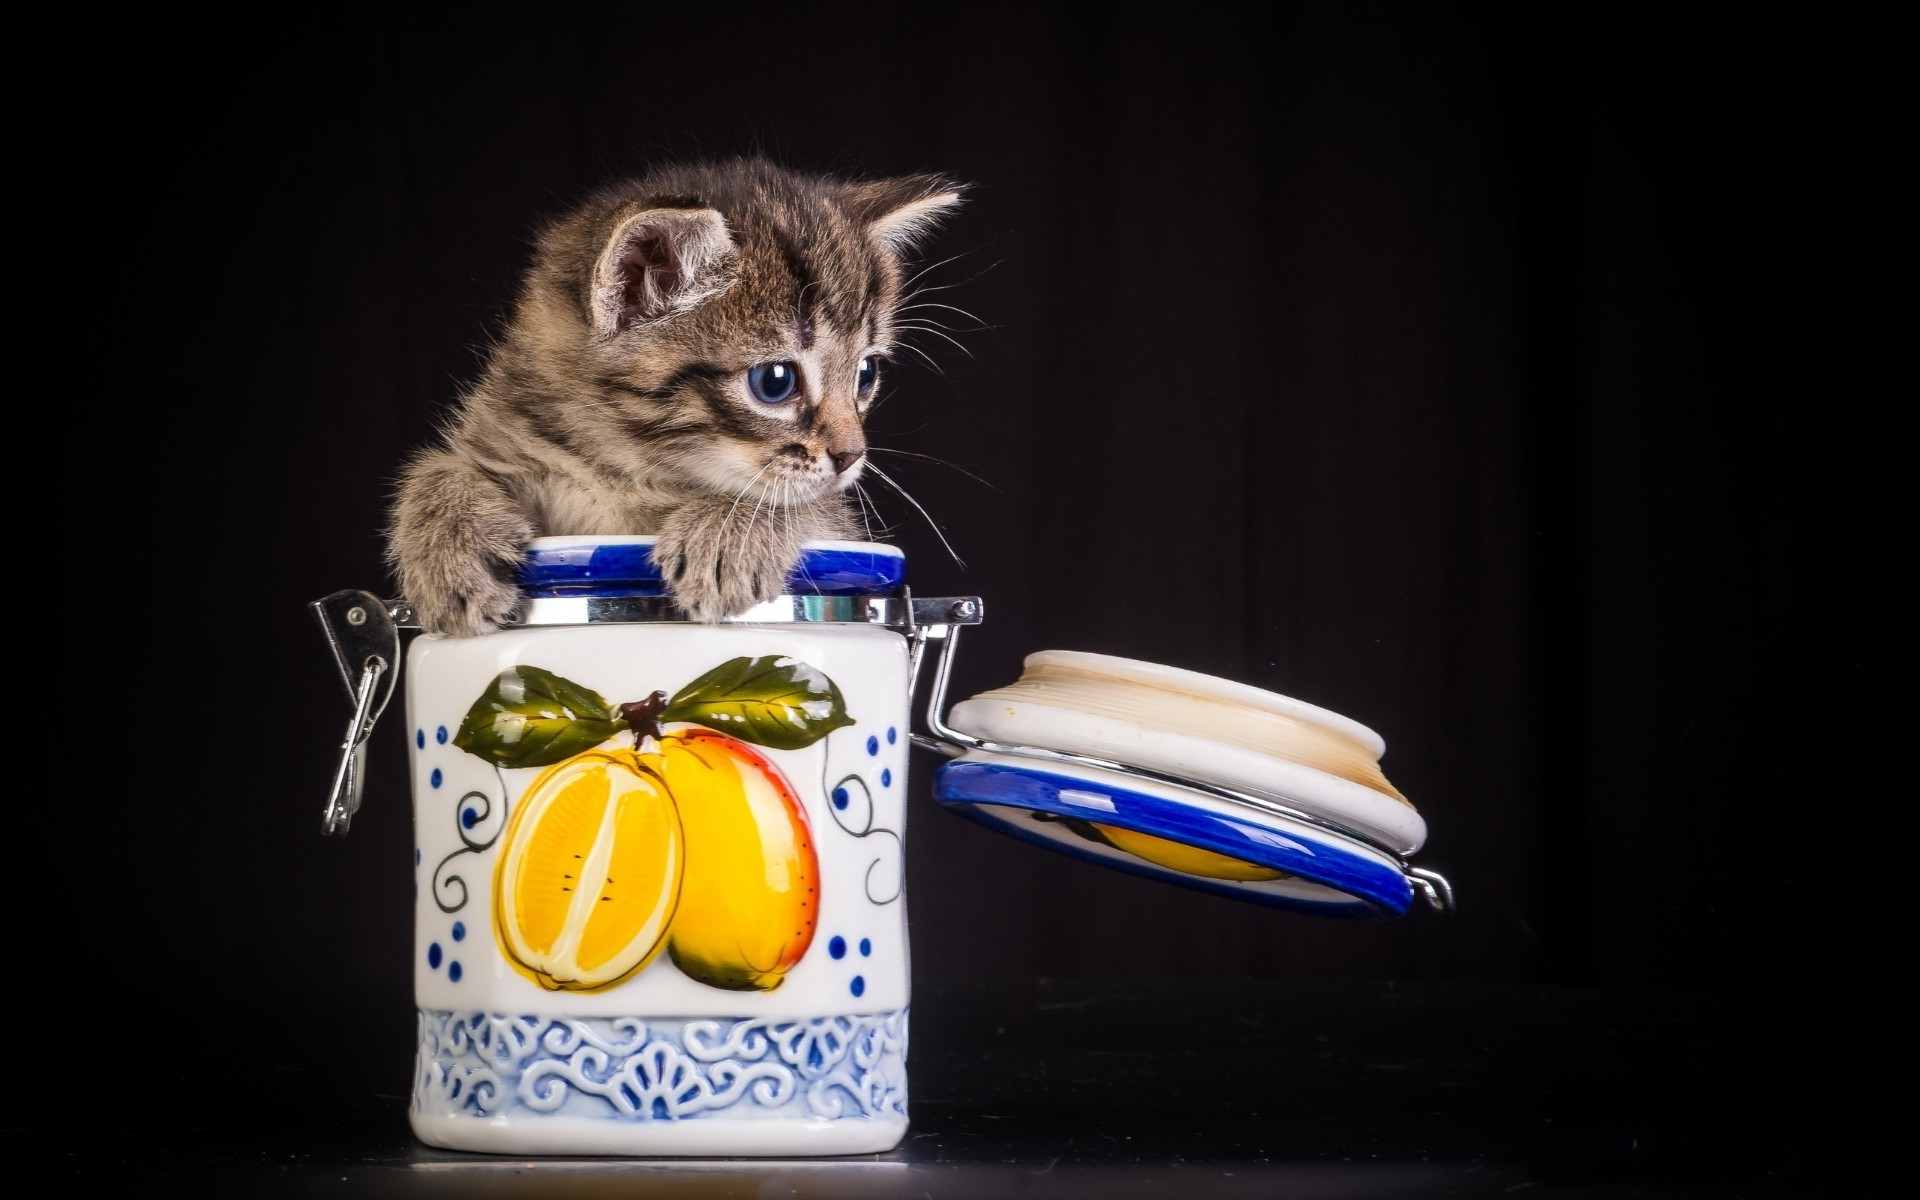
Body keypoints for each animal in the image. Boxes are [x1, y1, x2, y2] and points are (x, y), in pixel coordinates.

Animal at [384, 156, 967, 637]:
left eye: (865, 373)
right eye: (775, 381)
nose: (852, 455)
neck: (621, 467)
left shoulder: (841, 519)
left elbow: (810, 501)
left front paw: (731, 529)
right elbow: (439, 465)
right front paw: (447, 547)